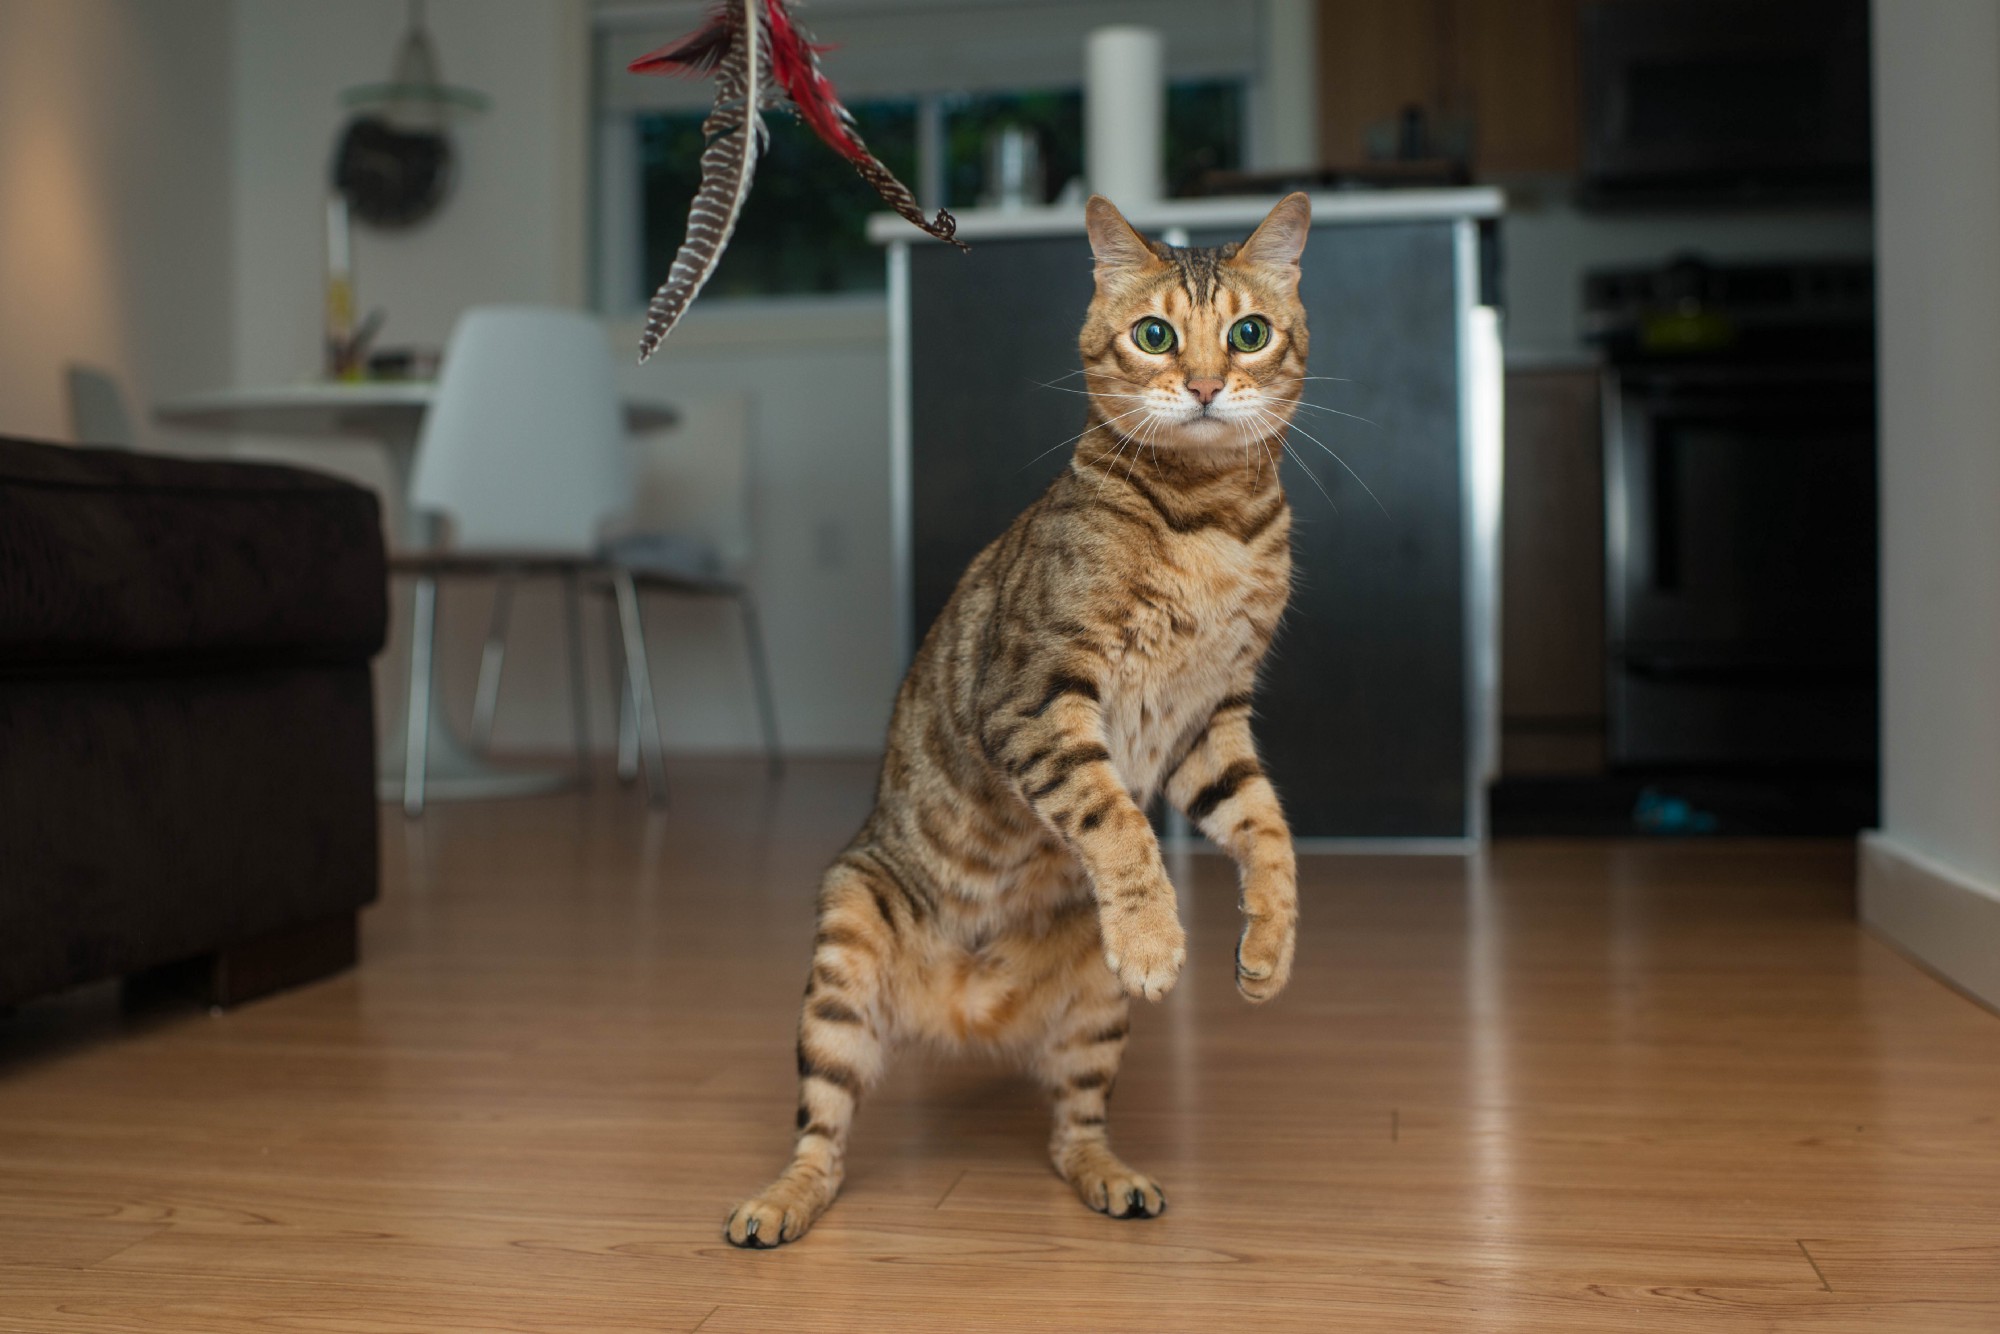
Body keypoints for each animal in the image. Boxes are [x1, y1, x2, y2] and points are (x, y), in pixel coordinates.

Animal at [724, 193, 1312, 1248]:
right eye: (1155, 335)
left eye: (1248, 334)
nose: (1206, 385)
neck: (1210, 524)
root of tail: (965, 1020)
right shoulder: (1037, 698)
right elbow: (1119, 824)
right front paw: (1156, 937)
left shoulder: (1211, 721)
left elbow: (1268, 829)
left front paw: (1269, 951)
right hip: (843, 955)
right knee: (823, 1136)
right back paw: (777, 1203)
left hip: (1095, 1015)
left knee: (1071, 1129)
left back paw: (1113, 1177)